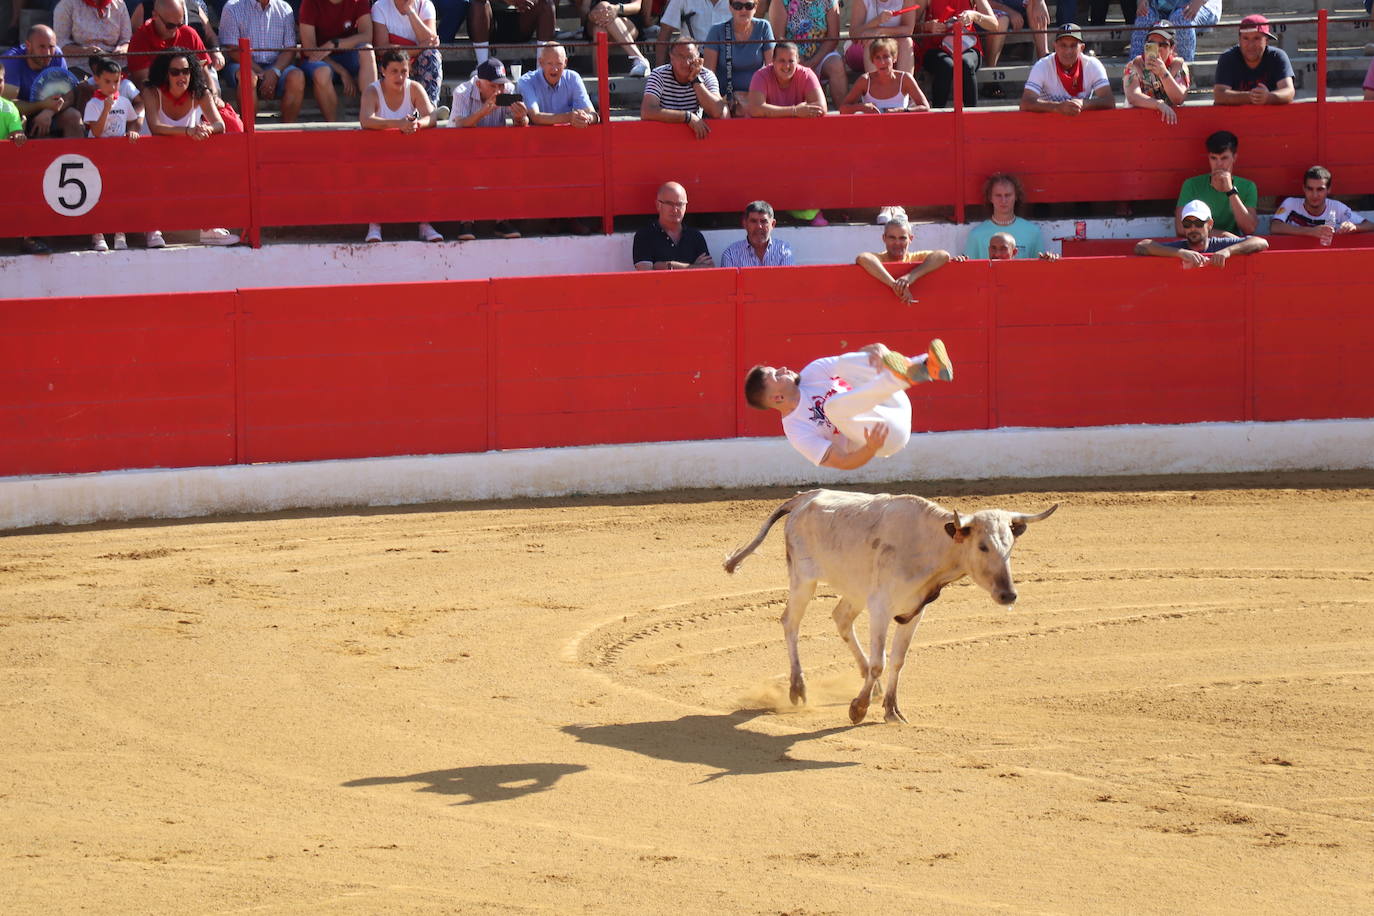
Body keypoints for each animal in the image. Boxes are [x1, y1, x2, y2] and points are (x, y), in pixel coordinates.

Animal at [725, 491, 1055, 725]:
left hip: (854, 590)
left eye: (1009, 546)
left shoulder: (914, 612)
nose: (1008, 595)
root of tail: (803, 497)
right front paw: (857, 709)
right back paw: (798, 688)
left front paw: (891, 709)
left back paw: (874, 690)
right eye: (982, 546)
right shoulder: (880, 607)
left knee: (841, 618)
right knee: (790, 623)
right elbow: (879, 661)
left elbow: (897, 660)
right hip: (803, 580)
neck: (930, 546)